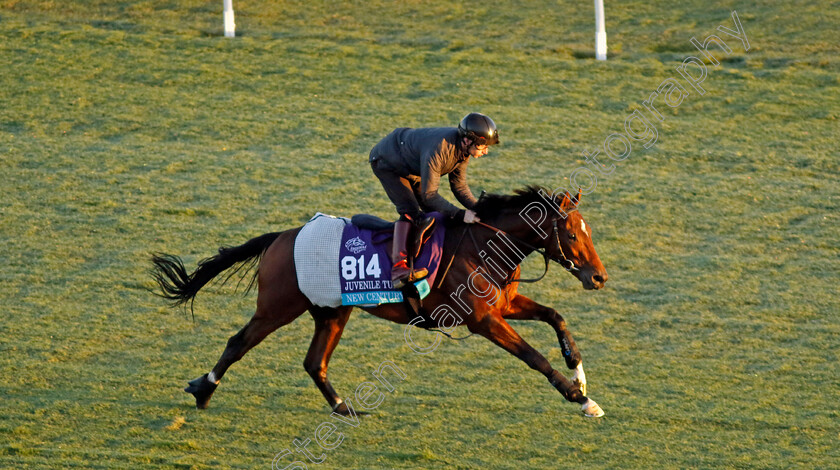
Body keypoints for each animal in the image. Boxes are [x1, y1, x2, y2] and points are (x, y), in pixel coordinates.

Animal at [151, 185, 608, 416]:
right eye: (572, 233)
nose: (599, 277)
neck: (484, 245)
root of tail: (283, 236)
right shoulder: (483, 320)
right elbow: (534, 356)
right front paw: (579, 398)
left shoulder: (503, 306)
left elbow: (556, 317)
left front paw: (579, 373)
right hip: (278, 307)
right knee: (238, 342)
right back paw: (203, 390)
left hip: (332, 311)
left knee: (314, 362)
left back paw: (343, 408)